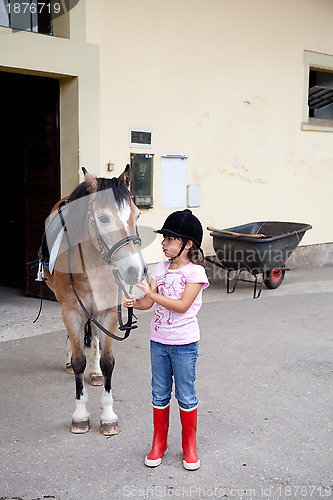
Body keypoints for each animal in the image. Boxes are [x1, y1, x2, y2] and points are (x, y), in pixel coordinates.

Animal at [41, 167, 145, 434]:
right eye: (104, 218)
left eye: (137, 214)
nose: (134, 270)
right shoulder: (70, 311)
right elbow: (79, 361)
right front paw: (80, 415)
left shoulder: (108, 311)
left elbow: (108, 361)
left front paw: (108, 416)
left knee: (96, 337)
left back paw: (95, 371)